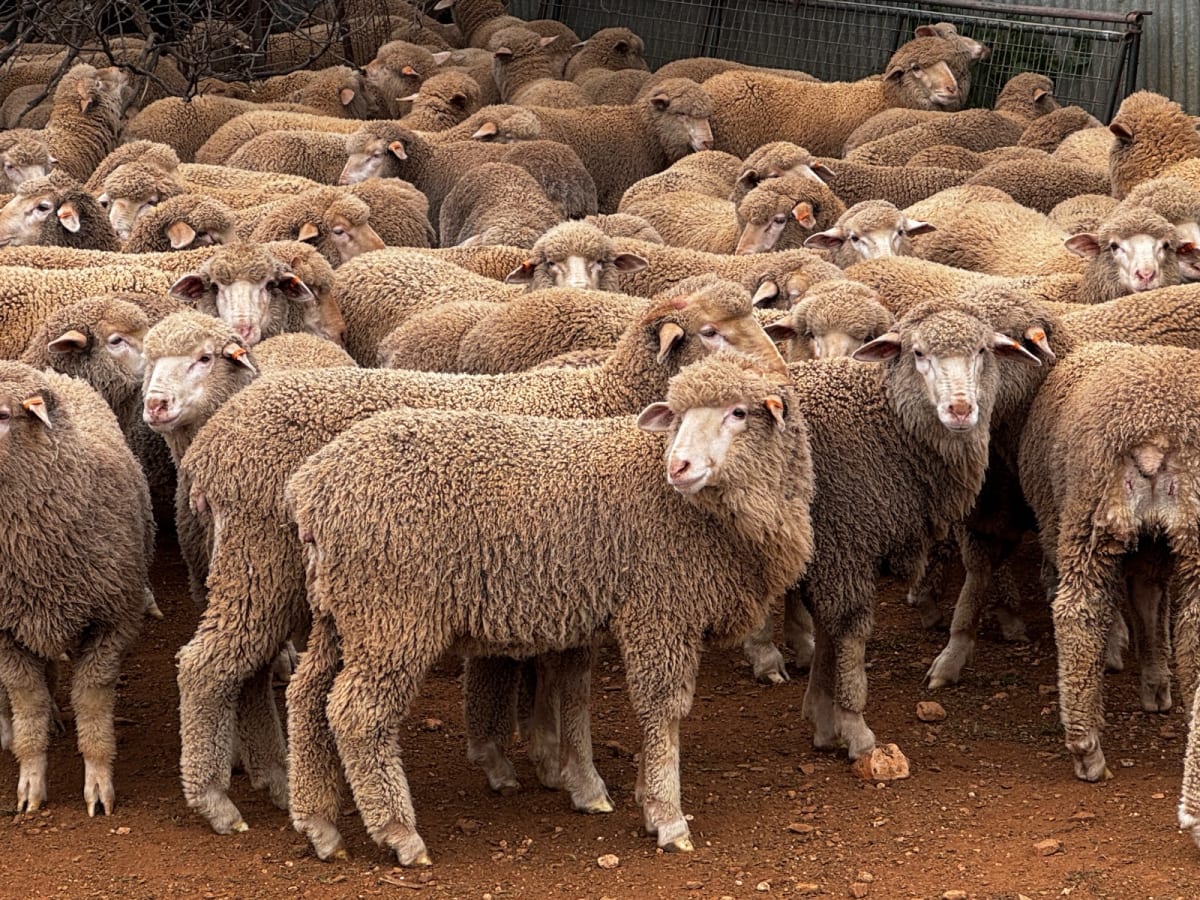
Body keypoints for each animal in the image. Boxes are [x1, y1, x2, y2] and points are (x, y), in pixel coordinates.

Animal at [0, 361, 153, 817]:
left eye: (3, 415)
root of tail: (52, 372)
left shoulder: (111, 624)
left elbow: (91, 703)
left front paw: (99, 784)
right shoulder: (5, 633)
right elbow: (27, 703)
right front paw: (30, 781)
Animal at [175, 274, 788, 834]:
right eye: (710, 332)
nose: (781, 381)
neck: (601, 398)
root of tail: (213, 444)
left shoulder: (560, 577)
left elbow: (550, 672)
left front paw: (540, 762)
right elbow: (555, 679)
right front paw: (556, 765)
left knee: (253, 671)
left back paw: (279, 783)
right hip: (263, 561)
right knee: (210, 666)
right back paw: (219, 799)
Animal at [284, 350, 813, 864]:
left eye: (738, 413)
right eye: (677, 418)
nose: (678, 467)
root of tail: (314, 487)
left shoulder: (597, 610)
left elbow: (580, 696)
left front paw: (620, 792)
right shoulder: (659, 609)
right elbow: (663, 710)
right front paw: (667, 816)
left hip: (341, 609)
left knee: (307, 697)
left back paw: (319, 824)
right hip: (392, 612)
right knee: (357, 714)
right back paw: (399, 834)